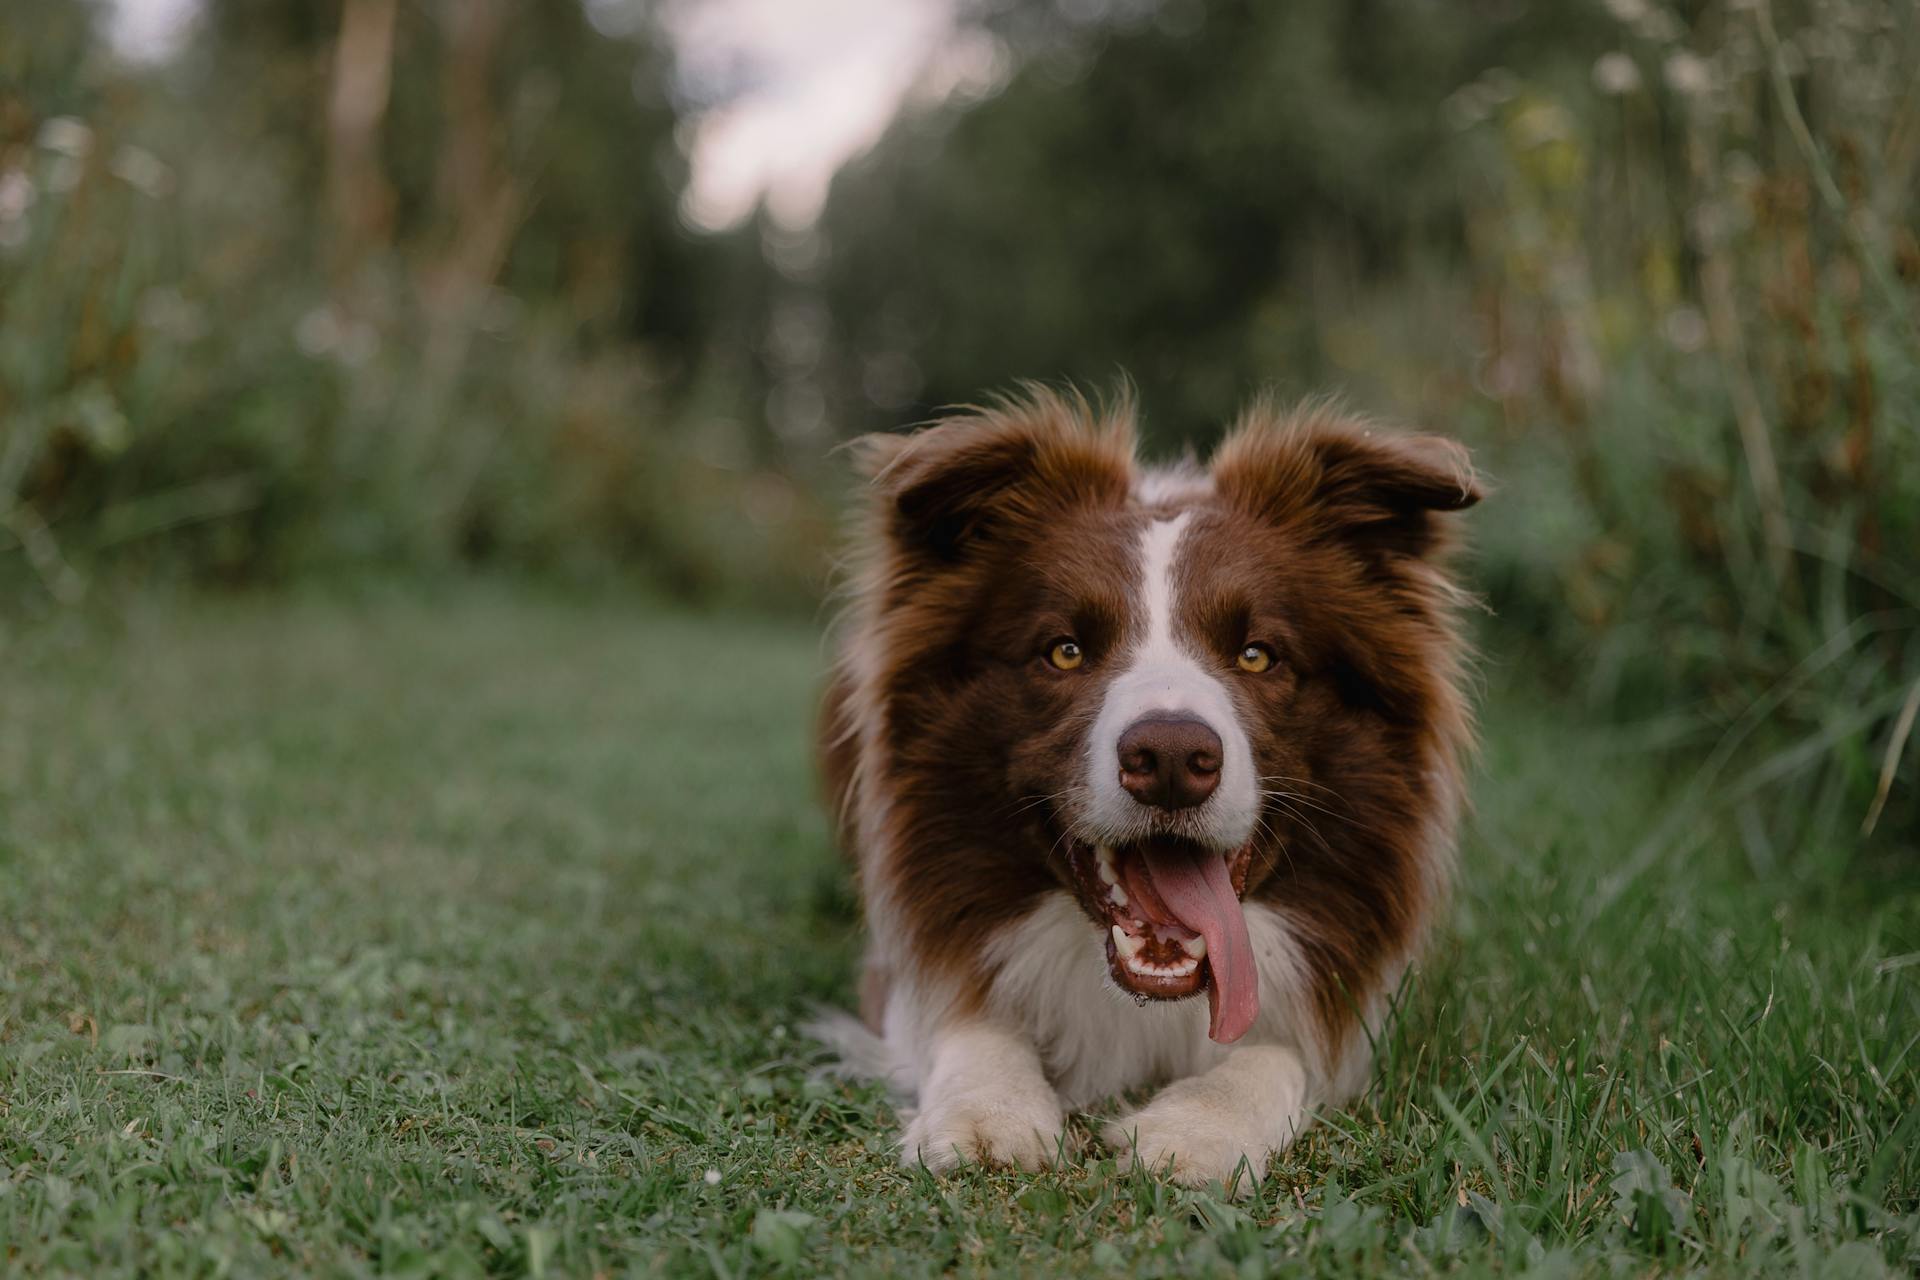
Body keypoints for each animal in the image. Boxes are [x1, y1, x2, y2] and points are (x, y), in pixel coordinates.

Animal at [810, 385, 1482, 1189]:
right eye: (1065, 651)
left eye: (1258, 655)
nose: (1169, 756)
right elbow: (965, 1016)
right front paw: (987, 1116)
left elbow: (1280, 1049)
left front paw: (1196, 1128)